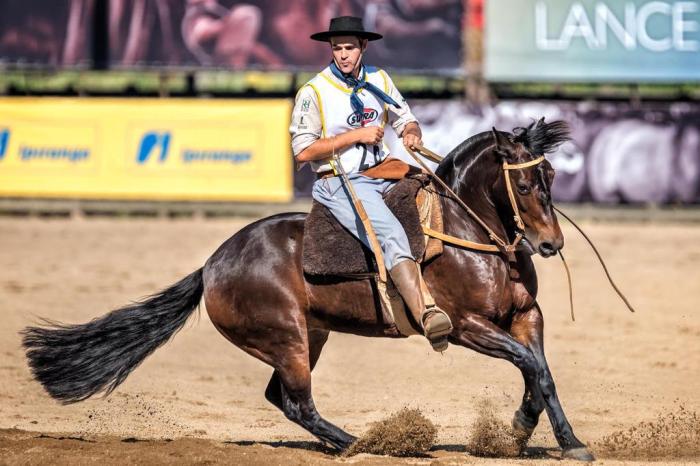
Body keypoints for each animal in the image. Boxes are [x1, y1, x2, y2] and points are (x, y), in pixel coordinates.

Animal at [20, 118, 592, 460]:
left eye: (552, 176)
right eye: (523, 184)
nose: (550, 243)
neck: (469, 232)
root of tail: (211, 265)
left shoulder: (526, 316)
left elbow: (540, 372)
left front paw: (546, 436)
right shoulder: (464, 326)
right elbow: (530, 364)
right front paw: (529, 431)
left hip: (308, 336)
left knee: (282, 397)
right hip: (287, 337)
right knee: (297, 403)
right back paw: (366, 442)